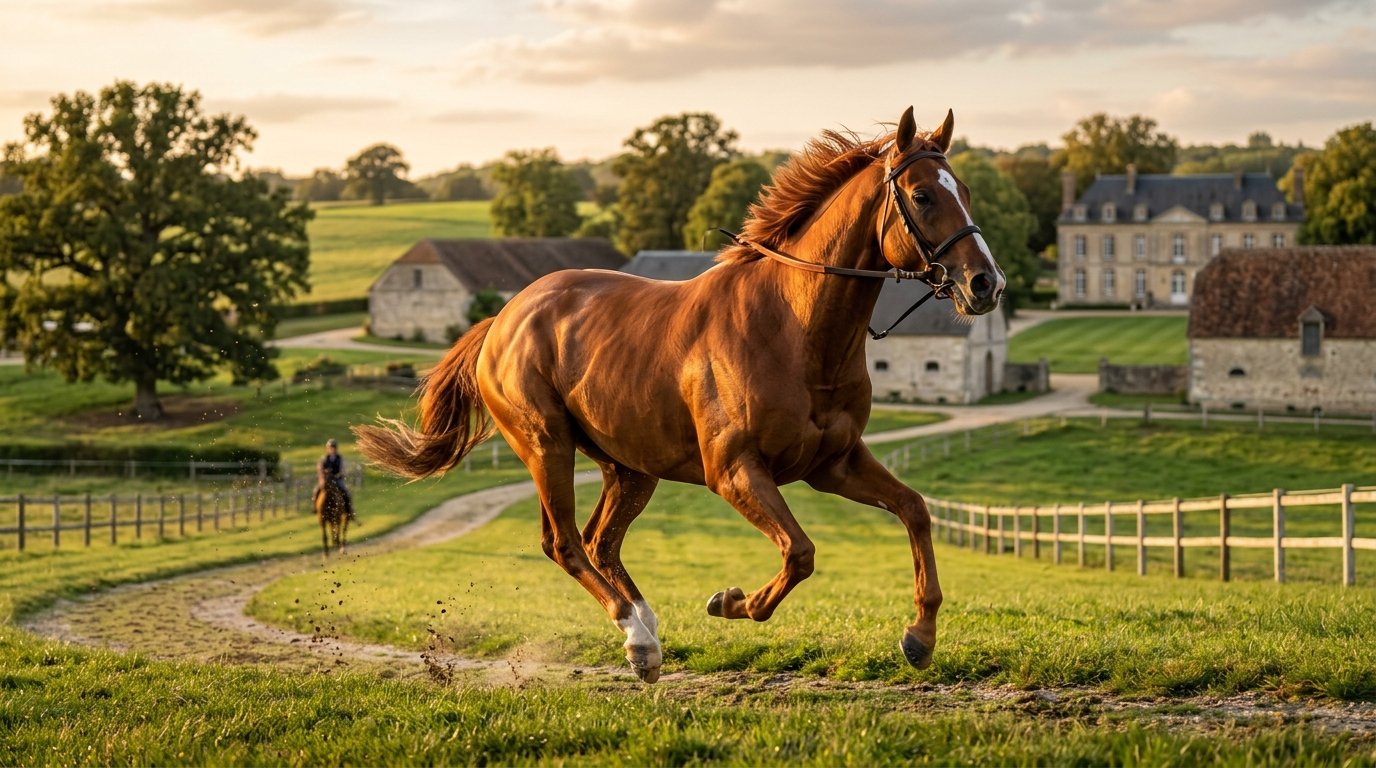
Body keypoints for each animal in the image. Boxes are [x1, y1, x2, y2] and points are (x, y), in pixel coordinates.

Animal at [355, 107, 1005, 683]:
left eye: (967, 191)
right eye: (922, 196)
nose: (986, 284)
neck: (794, 328)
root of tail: (504, 317)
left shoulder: (834, 463)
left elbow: (914, 509)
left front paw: (919, 638)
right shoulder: (734, 470)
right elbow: (799, 552)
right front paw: (730, 601)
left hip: (631, 467)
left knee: (601, 542)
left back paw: (644, 628)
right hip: (547, 446)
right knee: (565, 543)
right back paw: (639, 640)